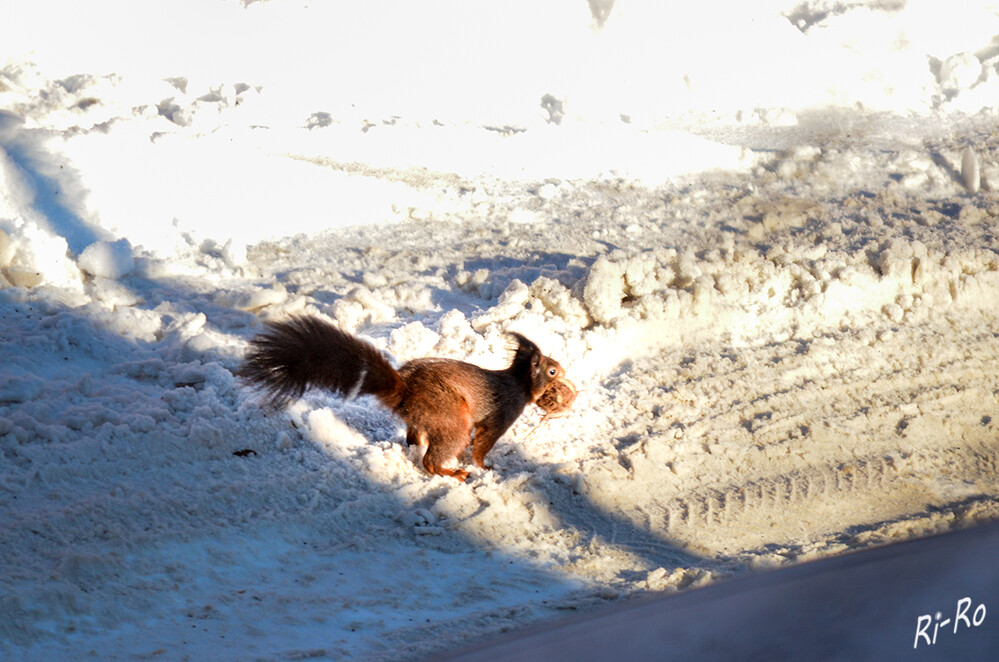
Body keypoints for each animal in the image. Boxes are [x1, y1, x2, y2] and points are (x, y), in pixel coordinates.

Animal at [239, 316, 568, 482]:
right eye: (551, 370)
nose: (565, 371)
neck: (519, 383)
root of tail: (405, 390)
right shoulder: (502, 414)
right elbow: (483, 444)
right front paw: (484, 467)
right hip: (451, 419)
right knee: (431, 460)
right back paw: (452, 472)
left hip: (425, 419)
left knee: (414, 441)